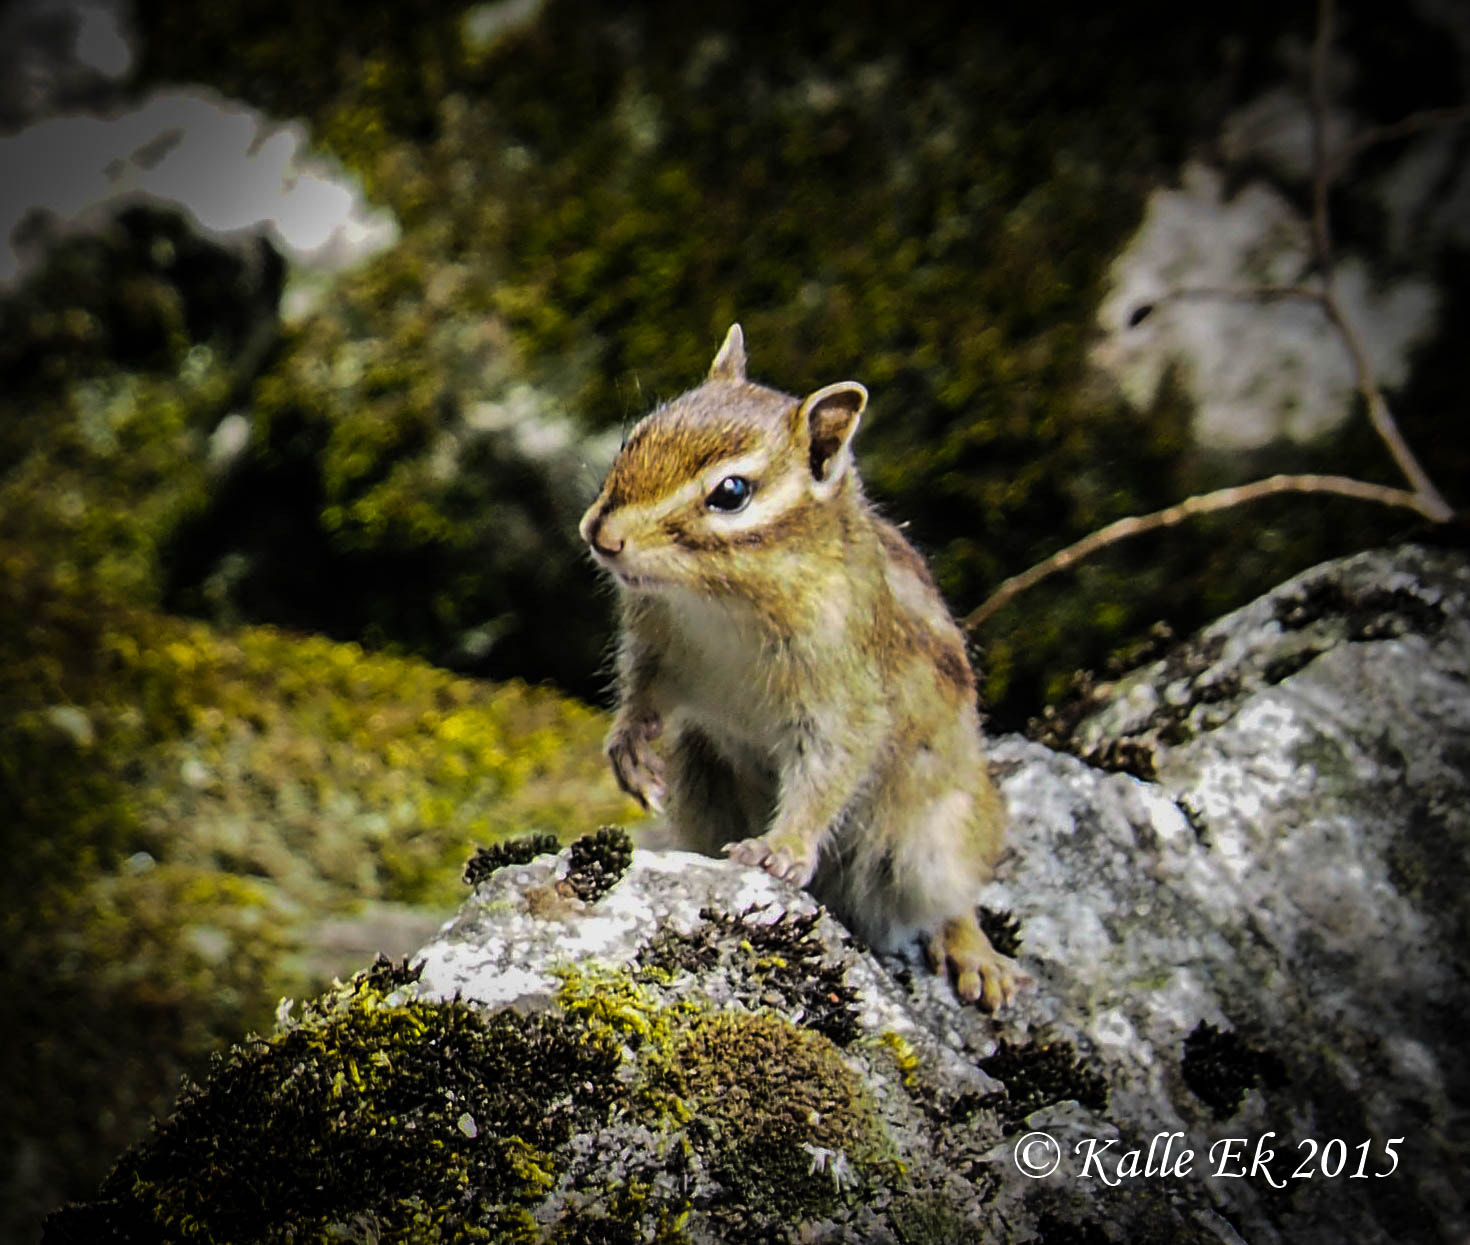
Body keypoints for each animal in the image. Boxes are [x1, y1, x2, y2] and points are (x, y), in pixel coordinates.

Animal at [579, 324, 1025, 1010]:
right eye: (635, 437)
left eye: (732, 492)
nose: (600, 536)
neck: (720, 603)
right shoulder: (654, 646)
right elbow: (641, 693)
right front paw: (629, 751)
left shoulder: (844, 695)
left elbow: (829, 768)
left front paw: (781, 847)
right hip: (699, 782)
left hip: (935, 837)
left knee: (953, 897)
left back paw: (977, 956)